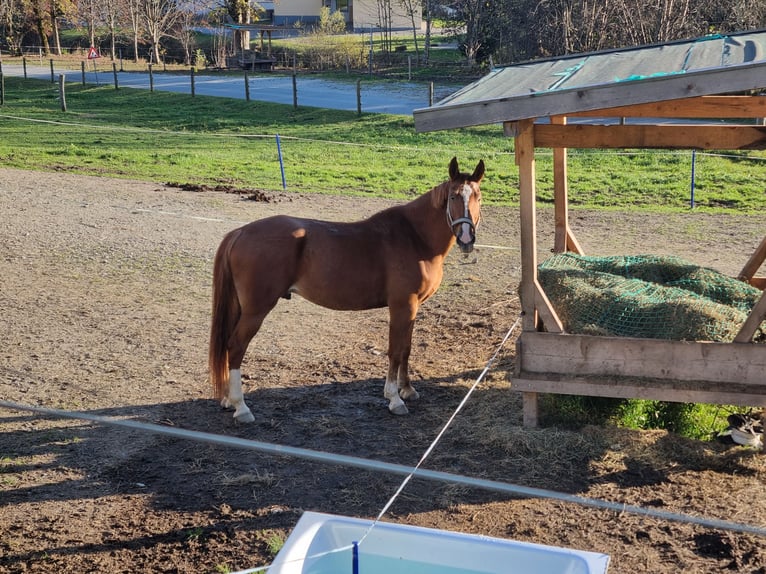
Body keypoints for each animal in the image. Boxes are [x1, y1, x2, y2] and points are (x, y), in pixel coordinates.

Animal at [210, 158, 486, 424]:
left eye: (478, 197)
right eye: (453, 197)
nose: (466, 238)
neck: (414, 237)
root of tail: (240, 232)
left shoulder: (413, 307)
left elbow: (406, 348)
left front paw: (408, 390)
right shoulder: (402, 306)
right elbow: (395, 351)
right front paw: (394, 398)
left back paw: (227, 400)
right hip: (256, 310)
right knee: (236, 346)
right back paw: (241, 407)